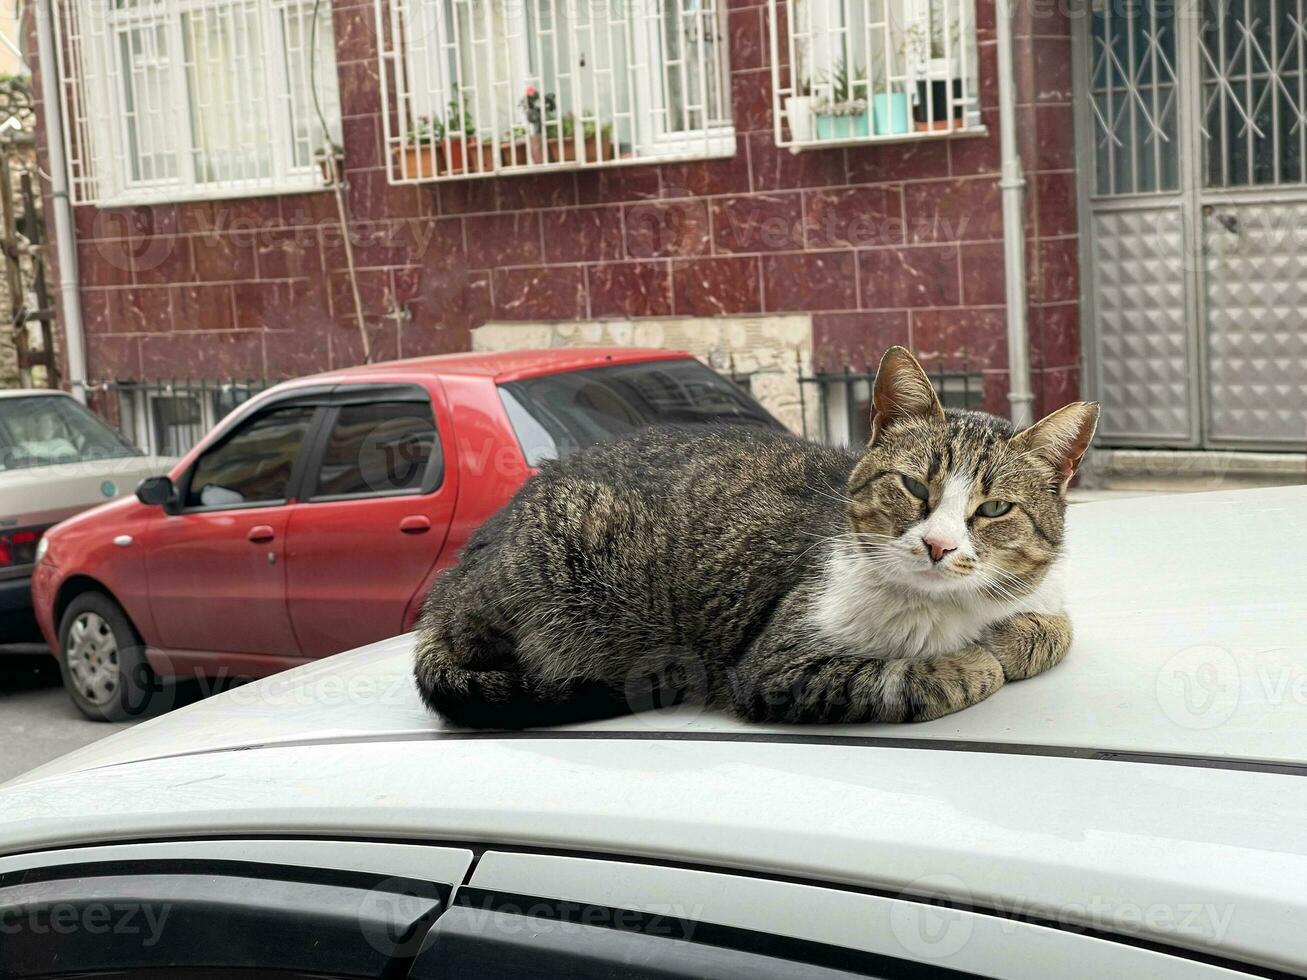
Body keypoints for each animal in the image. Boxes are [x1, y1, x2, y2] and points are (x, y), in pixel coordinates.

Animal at [413, 347, 1097, 731]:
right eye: (912, 487)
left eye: (994, 508)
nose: (938, 546)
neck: (949, 610)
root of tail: (450, 585)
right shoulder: (778, 666)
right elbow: (909, 677)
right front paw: (975, 661)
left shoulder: (1040, 595)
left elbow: (1055, 626)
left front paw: (1011, 637)